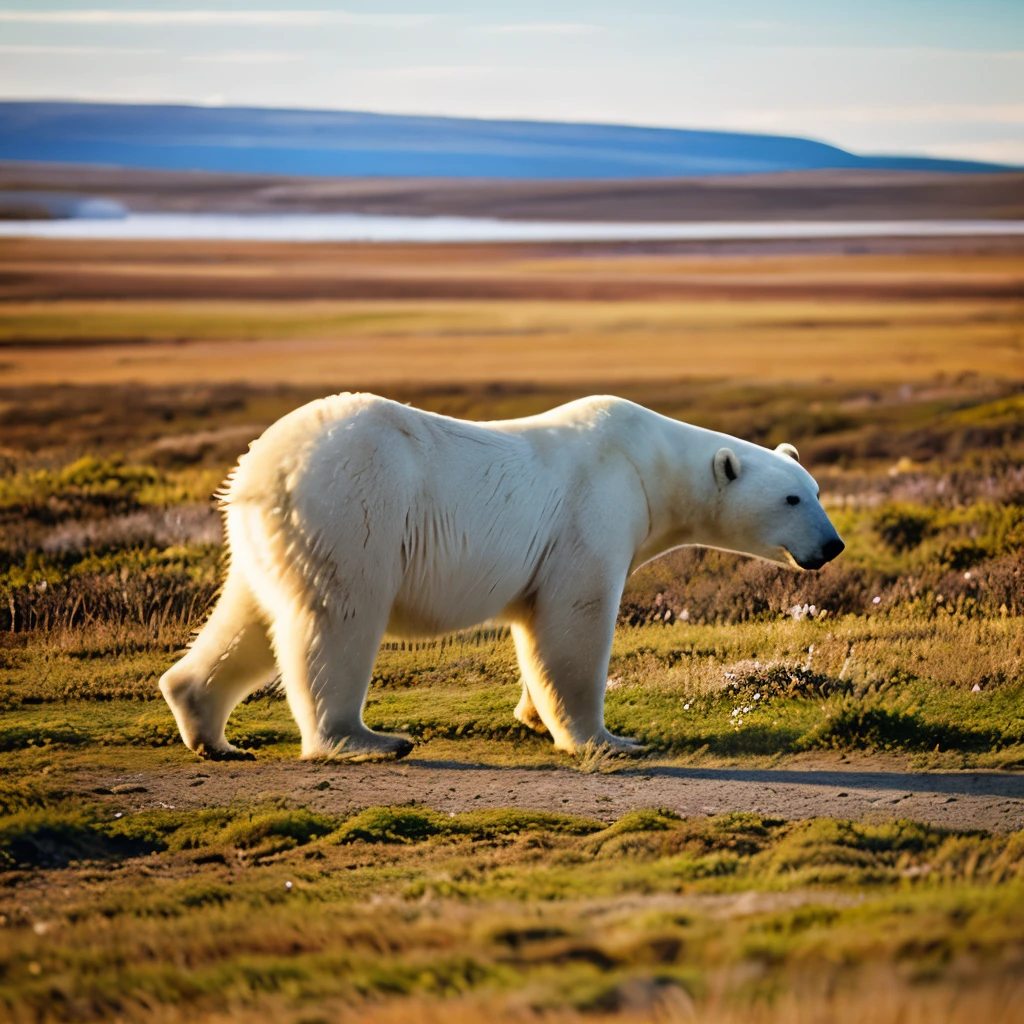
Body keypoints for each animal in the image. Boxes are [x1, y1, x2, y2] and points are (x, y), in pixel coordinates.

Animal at [159, 391, 843, 761]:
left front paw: (532, 714)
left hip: (269, 539)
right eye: (791, 500)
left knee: (246, 619)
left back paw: (208, 728)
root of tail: (255, 472)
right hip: (351, 506)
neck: (648, 463)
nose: (833, 545)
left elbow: (535, 629)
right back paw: (366, 740)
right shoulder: (594, 508)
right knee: (337, 619)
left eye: (815, 489)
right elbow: (575, 621)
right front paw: (604, 739)